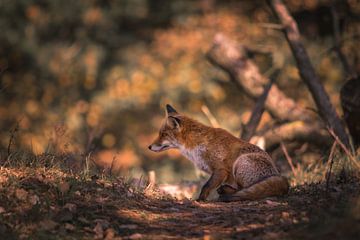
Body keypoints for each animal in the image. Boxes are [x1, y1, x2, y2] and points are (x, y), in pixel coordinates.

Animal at [148, 104, 288, 201]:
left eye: (163, 134)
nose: (149, 146)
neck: (195, 146)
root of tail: (278, 176)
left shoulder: (221, 170)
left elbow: (206, 186)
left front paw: (200, 200)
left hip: (240, 163)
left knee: (243, 190)